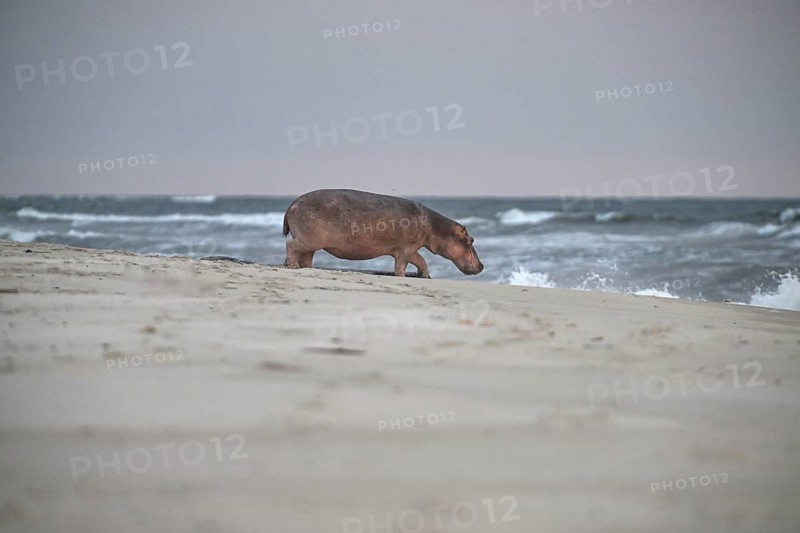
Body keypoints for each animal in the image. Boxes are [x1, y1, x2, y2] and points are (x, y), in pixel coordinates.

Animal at [282, 189, 483, 278]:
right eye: (470, 240)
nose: (482, 266)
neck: (435, 227)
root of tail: (291, 205)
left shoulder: (410, 249)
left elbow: (421, 261)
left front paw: (424, 276)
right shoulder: (406, 250)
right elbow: (406, 264)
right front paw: (402, 277)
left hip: (310, 244)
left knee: (305, 257)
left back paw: (300, 267)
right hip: (308, 240)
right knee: (290, 245)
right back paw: (292, 266)